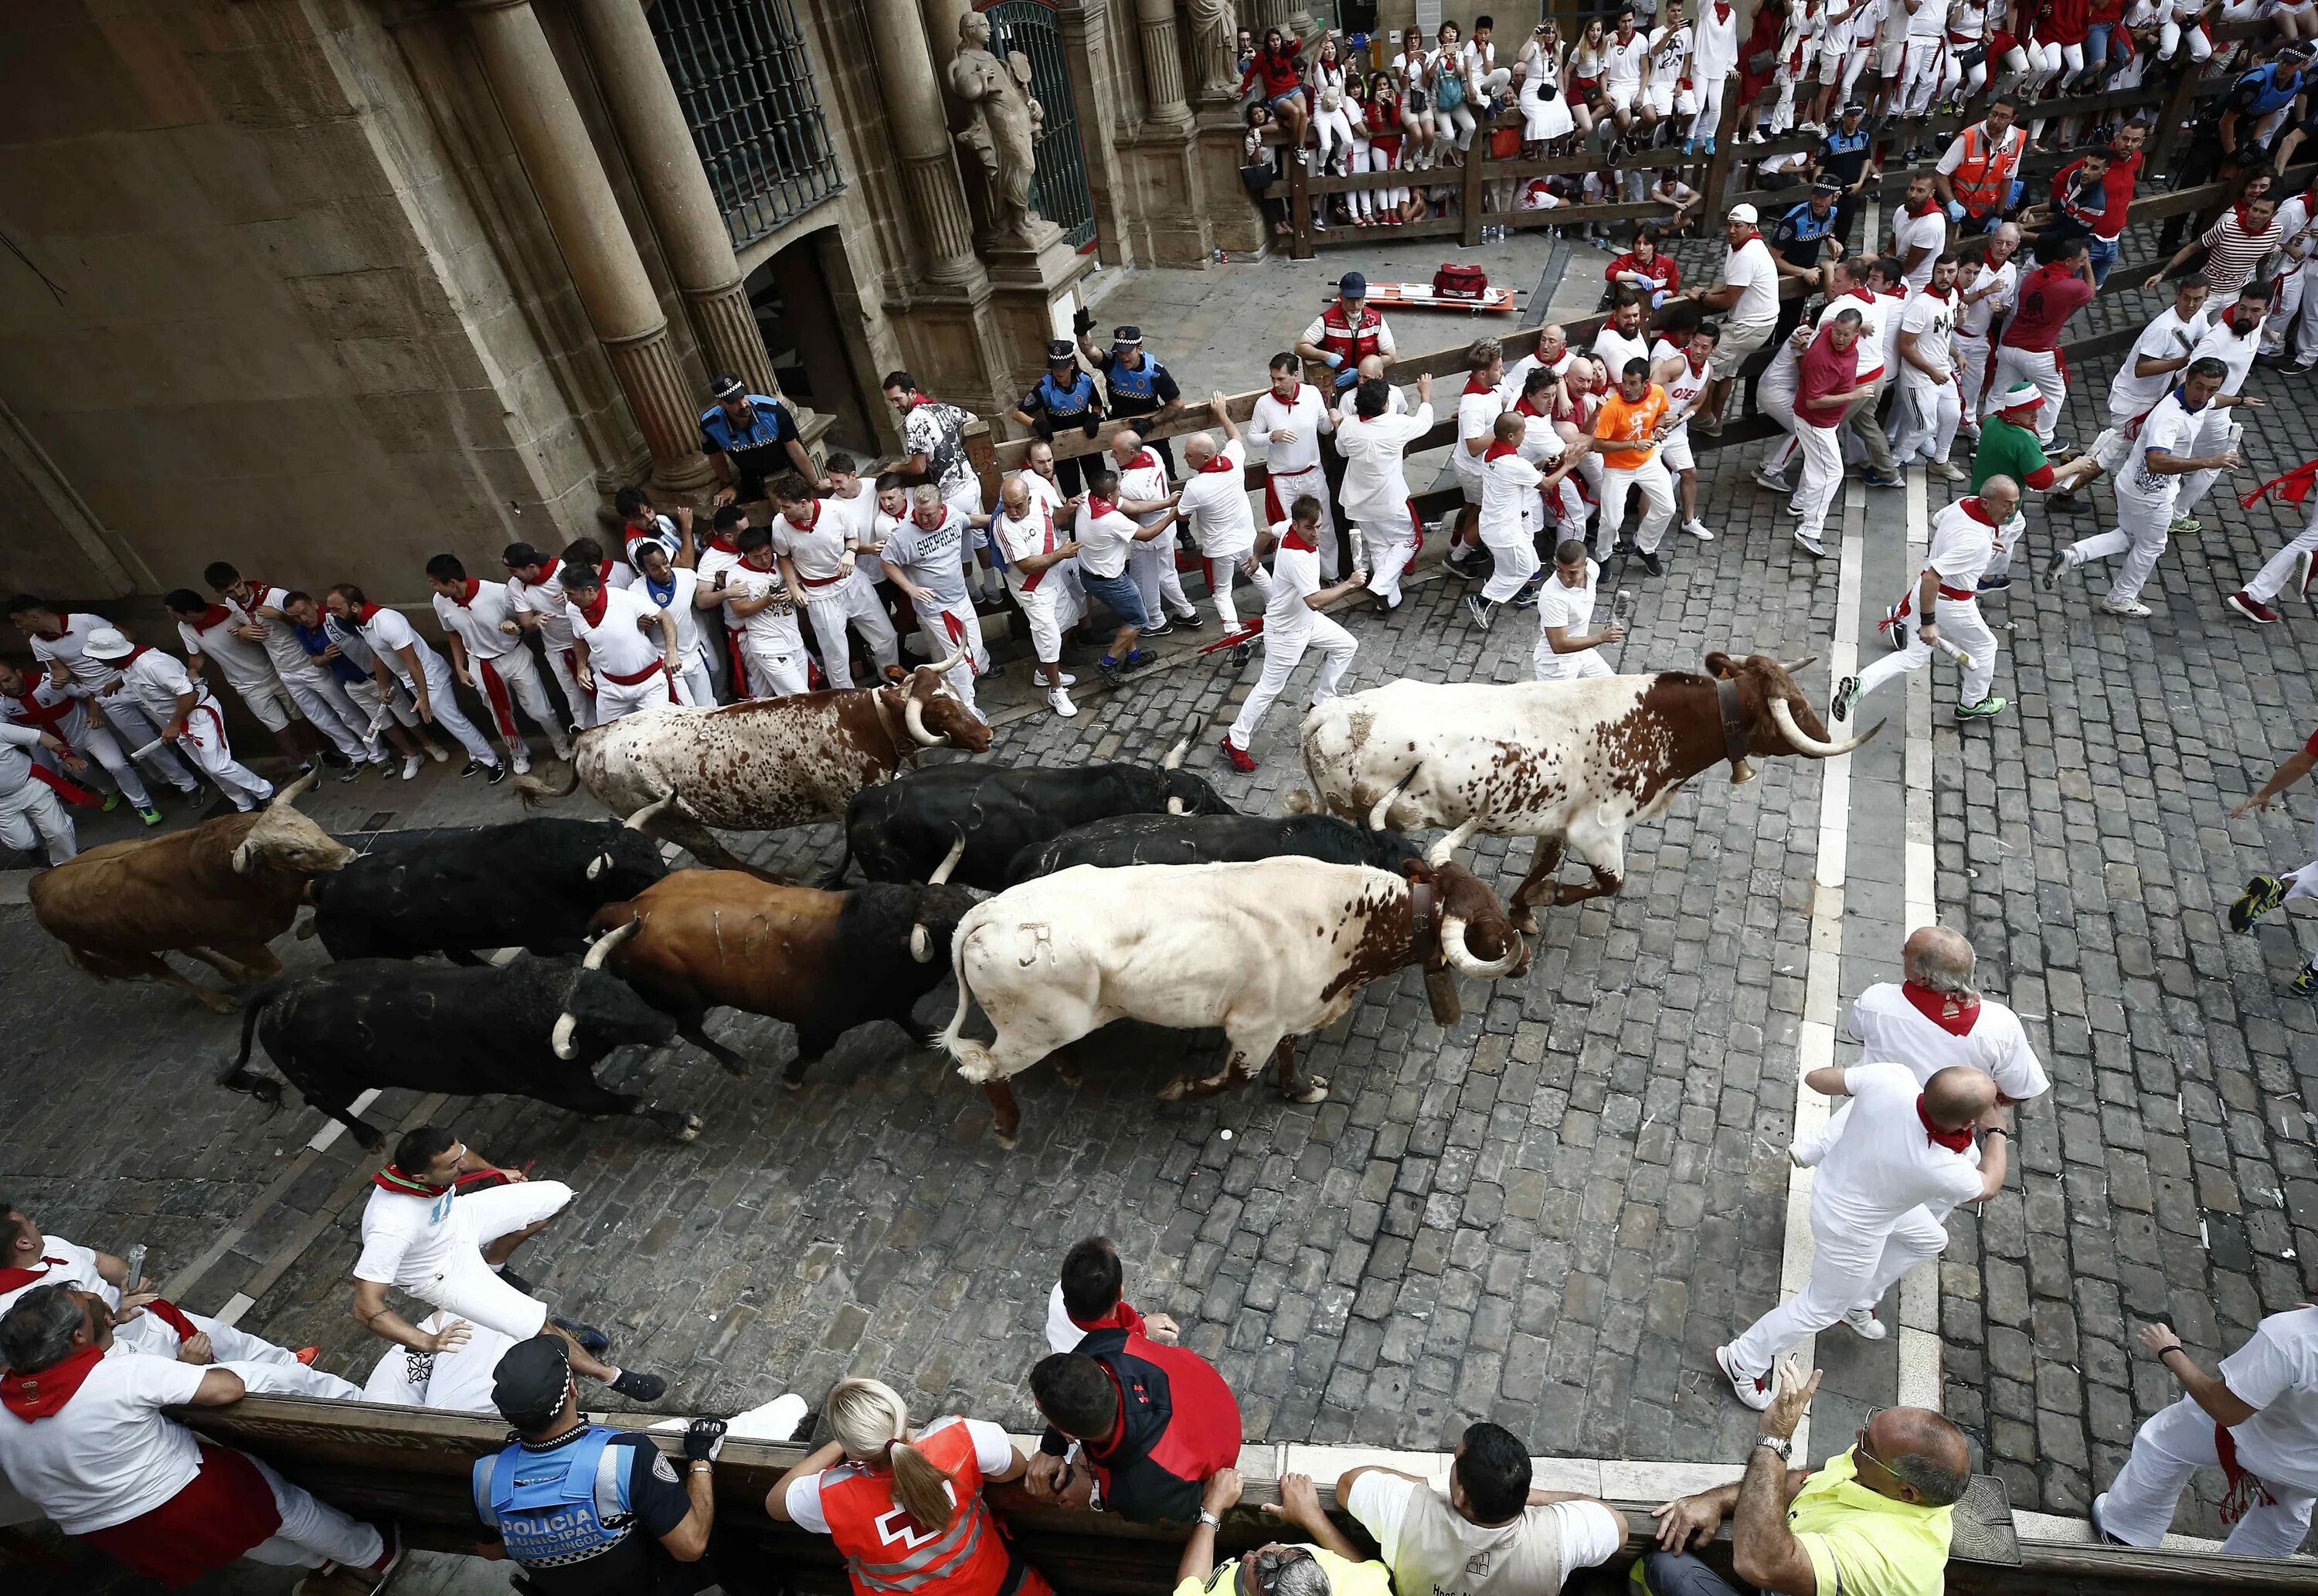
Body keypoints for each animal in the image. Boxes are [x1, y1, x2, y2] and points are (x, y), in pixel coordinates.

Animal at [27, 769, 355, 1010]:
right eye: (291, 851)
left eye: (312, 824)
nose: (348, 857)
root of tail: (39, 884)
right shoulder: (236, 943)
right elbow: (273, 967)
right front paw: (248, 973)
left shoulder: (287, 894)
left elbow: (315, 899)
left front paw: (305, 928)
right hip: (129, 953)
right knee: (169, 976)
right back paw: (220, 999)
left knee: (189, 949)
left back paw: (228, 975)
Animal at [218, 954, 695, 1139]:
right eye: (604, 1024)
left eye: (623, 987)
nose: (667, 1024)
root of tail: (282, 994)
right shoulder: (559, 1087)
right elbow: (627, 1101)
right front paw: (682, 1122)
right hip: (334, 1083)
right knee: (315, 1099)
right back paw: (367, 1136)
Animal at [512, 653, 992, 871]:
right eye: (941, 711)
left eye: (952, 691)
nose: (986, 736)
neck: (858, 724)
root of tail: (589, 738)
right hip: (669, 820)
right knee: (716, 857)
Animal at [941, 857, 1521, 1144]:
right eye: (1490, 926)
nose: (1523, 956)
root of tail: (988, 912)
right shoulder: (1252, 1028)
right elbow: (1234, 1079)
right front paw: (1177, 1089)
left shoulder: (1290, 1011)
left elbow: (1289, 1053)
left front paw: (1299, 1089)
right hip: (1028, 1032)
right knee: (986, 1069)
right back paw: (1008, 1127)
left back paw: (1067, 1068)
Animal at [1298, 648, 1873, 926]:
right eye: (1793, 706)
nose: (1827, 734)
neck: (1655, 724)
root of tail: (1330, 711)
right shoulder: (1598, 832)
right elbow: (1607, 883)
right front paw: (1545, 899)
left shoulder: (1554, 821)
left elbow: (1542, 864)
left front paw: (1524, 907)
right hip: (1353, 813)